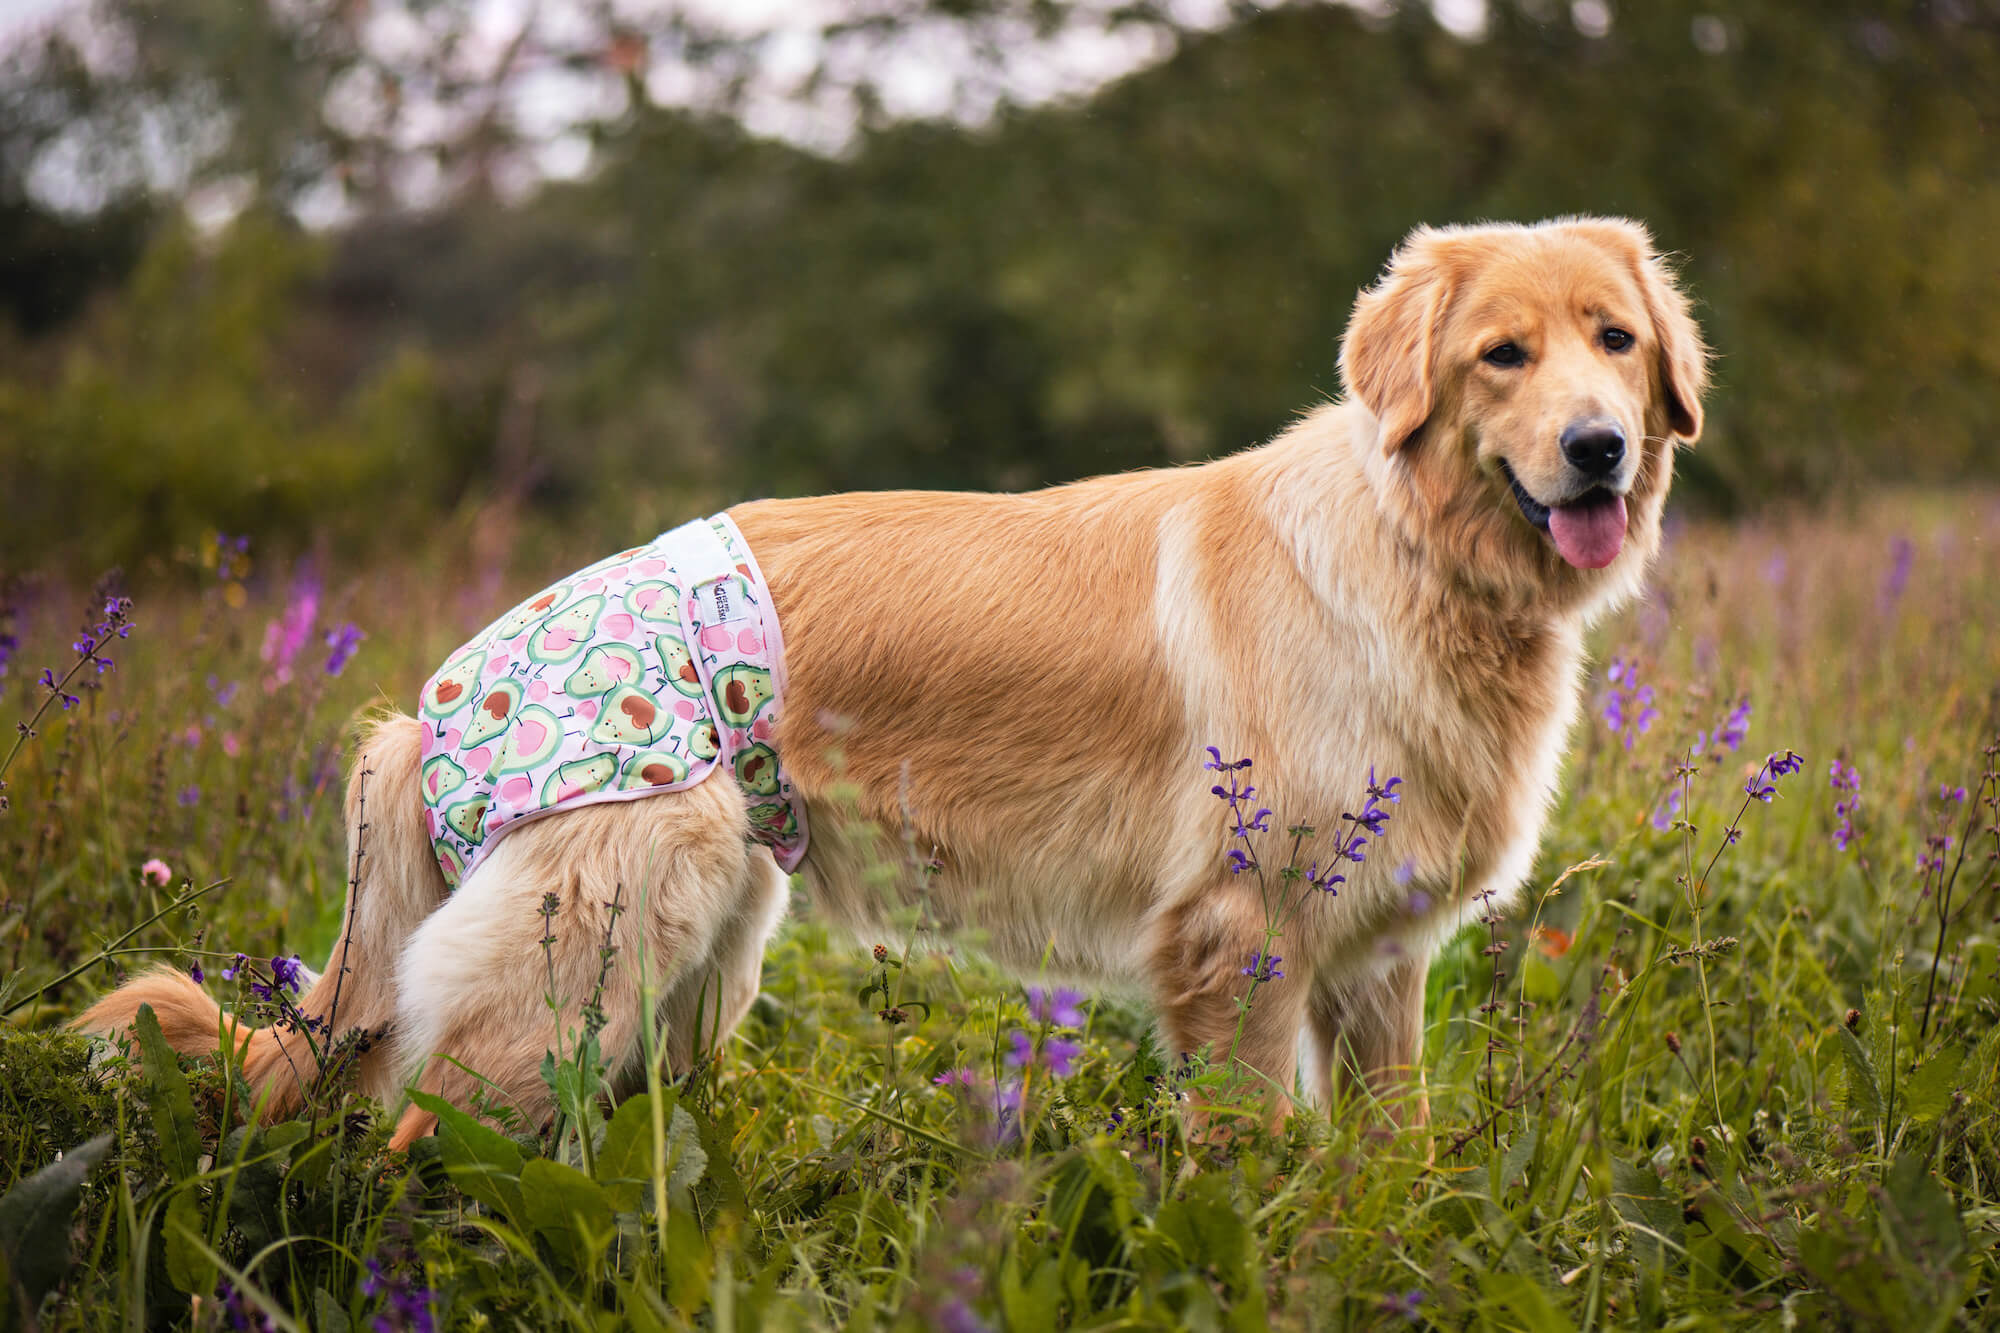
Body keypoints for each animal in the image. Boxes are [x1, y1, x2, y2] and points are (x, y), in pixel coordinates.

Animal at [78, 215, 1704, 1144]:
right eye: (1501, 356)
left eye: (1614, 342)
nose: (1599, 447)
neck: (1416, 558)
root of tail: (428, 703)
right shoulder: (1236, 947)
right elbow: (1247, 1169)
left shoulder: (1372, 967)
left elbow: (1386, 1158)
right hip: (591, 959)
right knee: (418, 1146)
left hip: (699, 965)